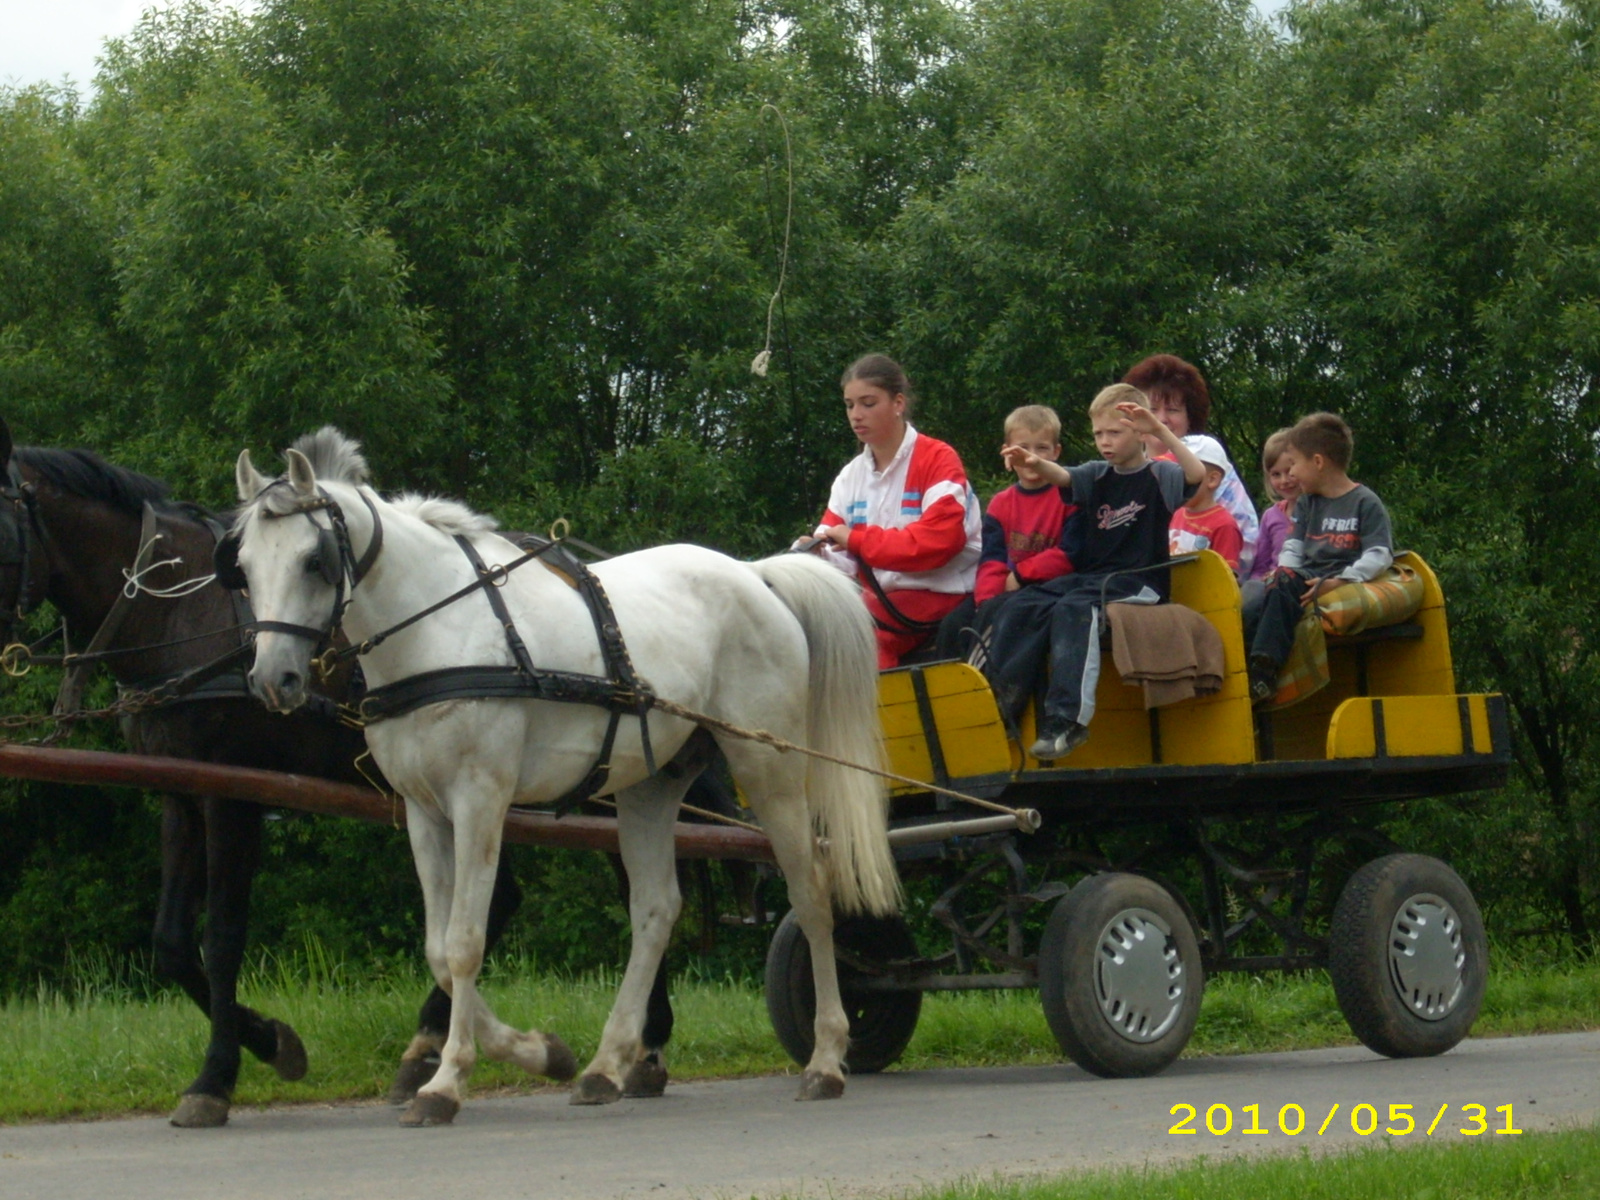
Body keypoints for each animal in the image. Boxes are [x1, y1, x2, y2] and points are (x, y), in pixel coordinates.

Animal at [0, 428, 675, 1132]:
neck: (184, 616)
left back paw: (638, 1048)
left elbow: (222, 937)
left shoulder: (234, 792)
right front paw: (269, 1042)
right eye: (239, 565)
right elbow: (172, 943)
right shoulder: (180, 794)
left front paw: (223, 1073)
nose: (272, 682)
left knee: (634, 887)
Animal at [228, 432, 902, 1126]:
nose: (272, 680)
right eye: (244, 566)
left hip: (770, 767)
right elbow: (440, 952)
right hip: (650, 785)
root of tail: (756, 575)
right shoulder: (423, 809)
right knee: (656, 908)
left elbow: (465, 942)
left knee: (811, 890)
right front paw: (538, 1053)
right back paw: (607, 1065)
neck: (435, 629)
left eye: (314, 560)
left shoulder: (480, 800)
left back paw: (826, 1058)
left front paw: (446, 1081)